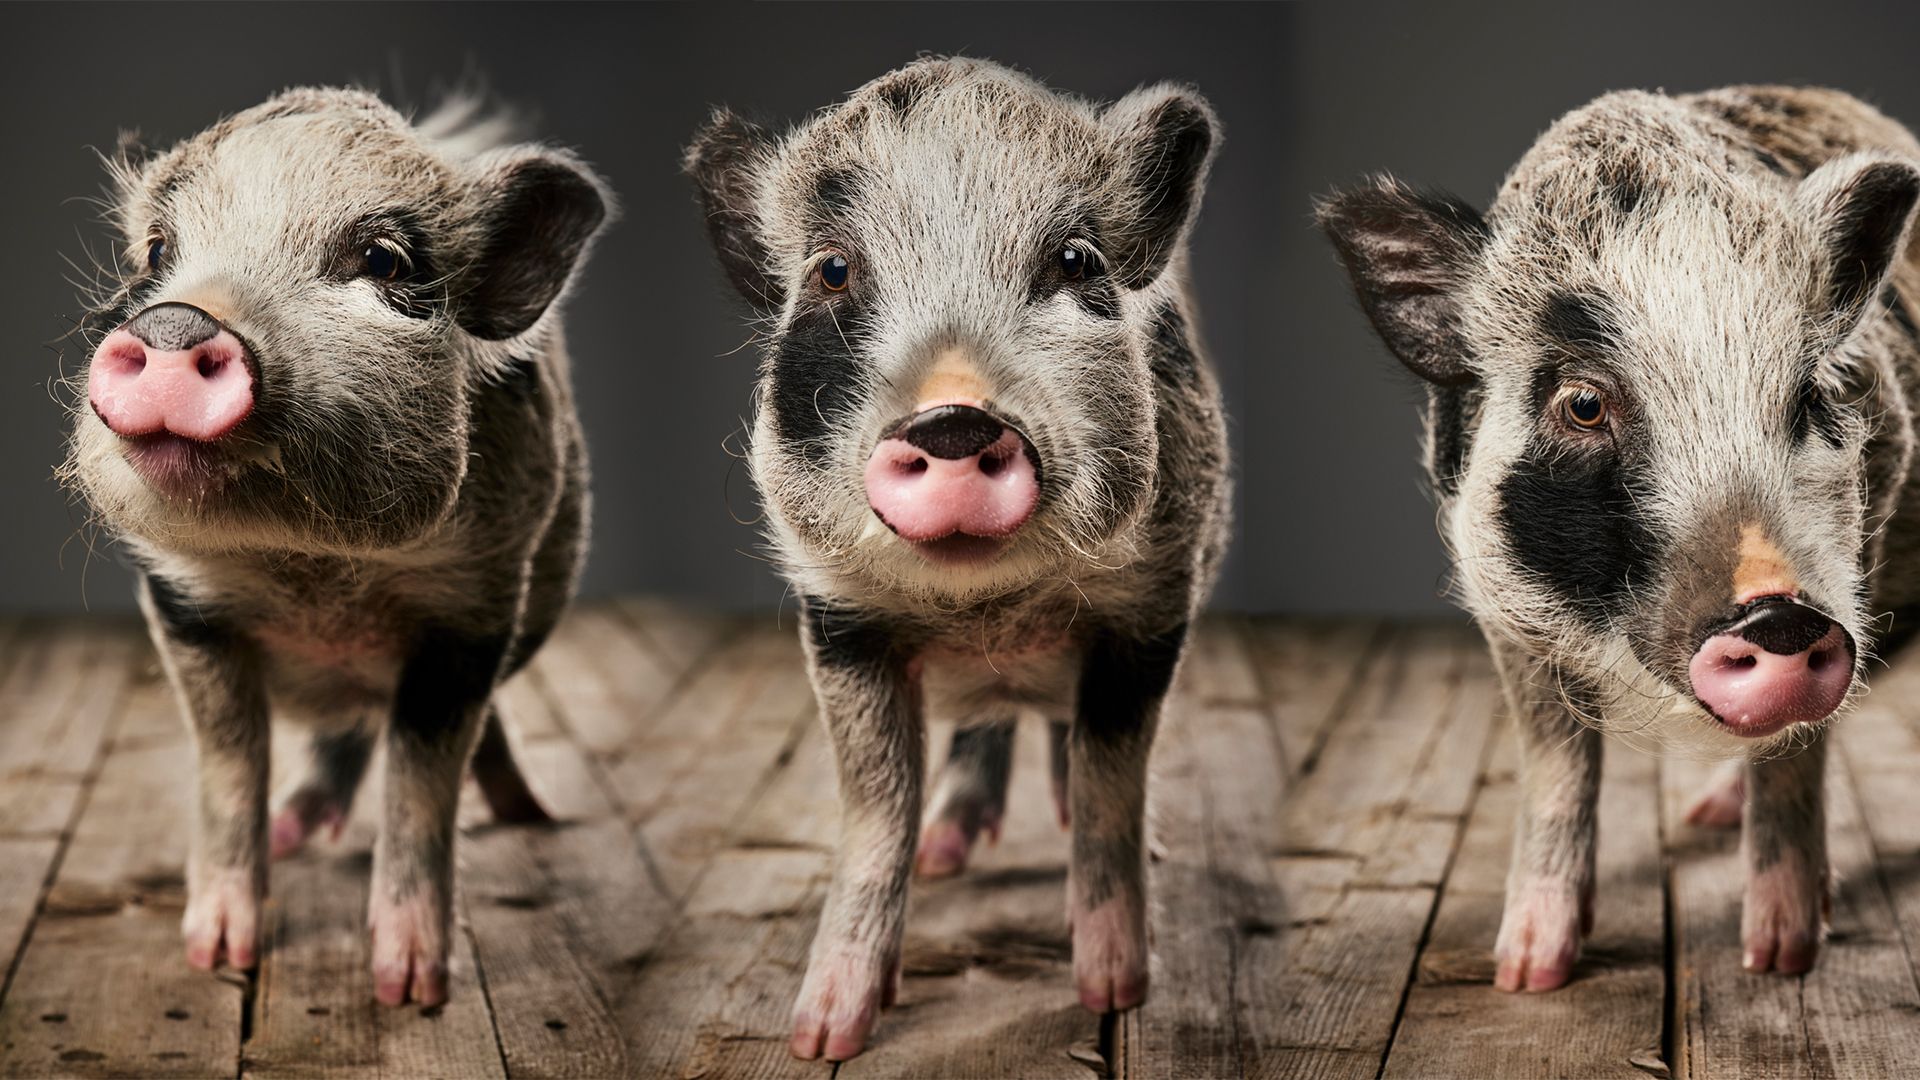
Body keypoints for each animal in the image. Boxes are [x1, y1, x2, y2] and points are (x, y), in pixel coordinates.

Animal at [61, 87, 610, 1006]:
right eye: (159, 250)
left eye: (384, 261)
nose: (176, 320)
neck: (314, 579)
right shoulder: (184, 610)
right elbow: (228, 767)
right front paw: (215, 955)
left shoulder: (474, 612)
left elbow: (421, 786)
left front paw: (410, 990)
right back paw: (296, 832)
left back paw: (532, 817)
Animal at [685, 57, 1229, 1060]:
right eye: (832, 269)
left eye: (1075, 261)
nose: (952, 417)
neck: (989, 618)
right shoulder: (840, 622)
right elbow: (875, 806)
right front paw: (824, 1036)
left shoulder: (1151, 610)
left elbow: (1109, 786)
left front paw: (1117, 990)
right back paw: (946, 854)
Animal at [1319, 85, 1920, 990]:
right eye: (1584, 404)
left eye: (1810, 395)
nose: (1778, 614)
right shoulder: (1502, 609)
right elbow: (1557, 765)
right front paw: (1527, 974)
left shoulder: (1860, 555)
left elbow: (1798, 758)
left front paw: (1779, 961)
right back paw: (1704, 817)